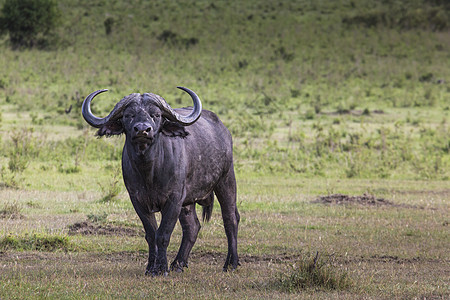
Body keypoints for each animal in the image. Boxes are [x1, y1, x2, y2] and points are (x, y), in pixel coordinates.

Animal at [82, 86, 241, 274]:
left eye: (156, 115)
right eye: (129, 115)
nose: (142, 130)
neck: (149, 172)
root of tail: (223, 130)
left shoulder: (174, 199)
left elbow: (163, 234)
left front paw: (161, 268)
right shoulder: (138, 200)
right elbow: (151, 234)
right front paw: (151, 267)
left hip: (226, 180)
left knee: (231, 219)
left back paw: (231, 263)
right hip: (188, 201)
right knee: (192, 226)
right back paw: (178, 263)